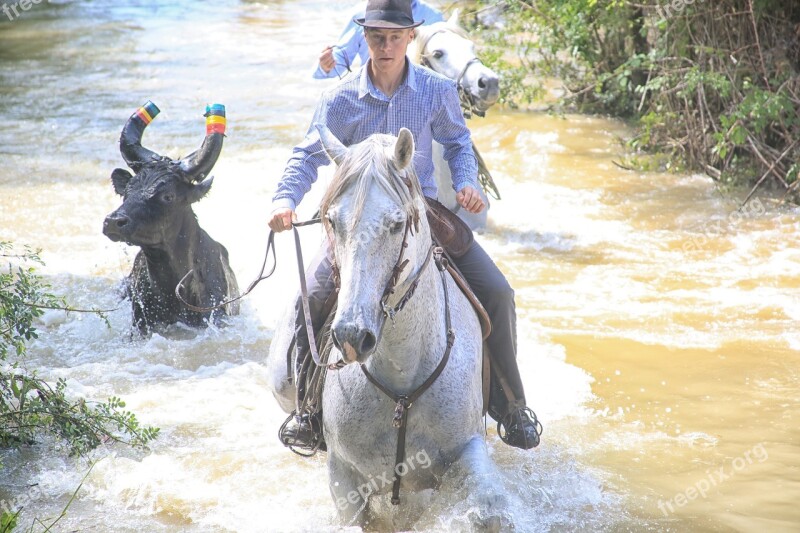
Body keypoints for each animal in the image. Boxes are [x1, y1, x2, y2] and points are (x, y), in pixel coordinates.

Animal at [268, 128, 506, 528]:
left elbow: (488, 508)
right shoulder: (343, 477)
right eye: (331, 221)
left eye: (396, 224)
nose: (351, 336)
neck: (402, 373)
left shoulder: (466, 449)